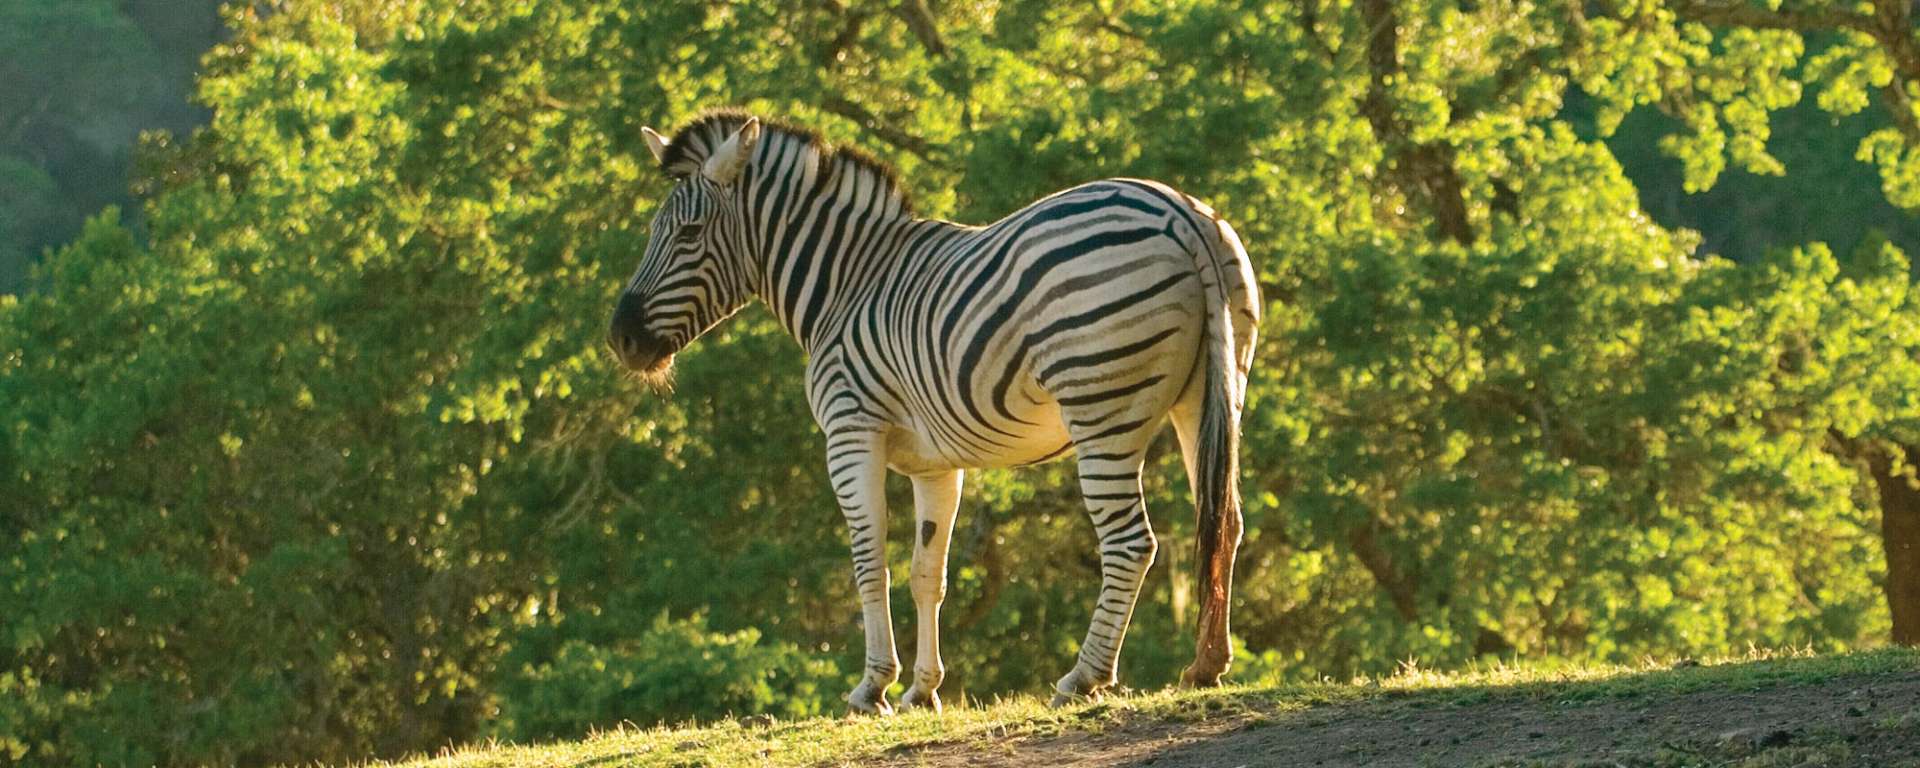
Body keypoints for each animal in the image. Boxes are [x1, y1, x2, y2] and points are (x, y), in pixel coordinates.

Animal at [608, 110, 1259, 712]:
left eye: (689, 233)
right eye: (655, 230)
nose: (621, 340)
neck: (845, 284)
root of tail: (1178, 212)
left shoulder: (850, 432)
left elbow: (870, 561)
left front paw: (873, 687)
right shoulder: (935, 464)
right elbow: (928, 574)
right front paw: (923, 690)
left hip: (1100, 407)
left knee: (1130, 542)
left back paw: (1085, 677)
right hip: (1211, 394)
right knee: (1224, 519)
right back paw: (1205, 666)